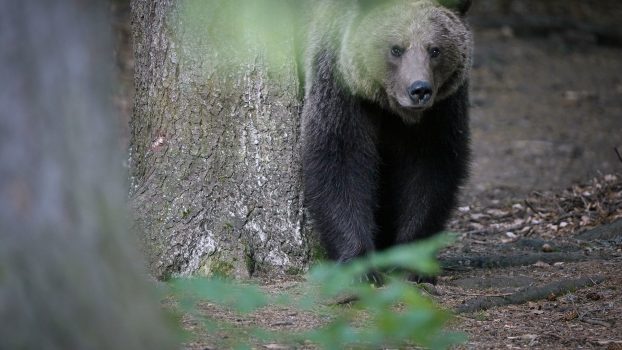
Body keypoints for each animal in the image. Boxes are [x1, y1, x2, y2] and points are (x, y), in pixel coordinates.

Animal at [302, 0, 472, 284]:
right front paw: (360, 265)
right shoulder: (342, 88)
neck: (389, 107)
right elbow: (339, 162)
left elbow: (429, 170)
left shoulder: (440, 111)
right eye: (396, 48)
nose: (419, 90)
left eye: (434, 49)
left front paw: (412, 264)